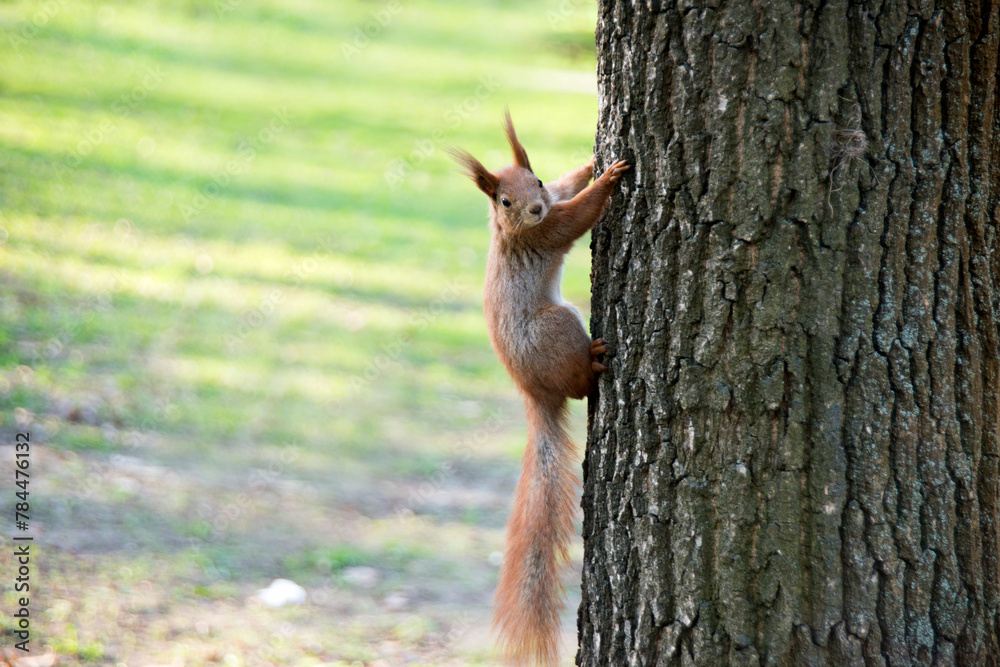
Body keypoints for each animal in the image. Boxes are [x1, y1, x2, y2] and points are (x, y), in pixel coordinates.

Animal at [450, 112, 628, 664]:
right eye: (504, 201)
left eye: (540, 181)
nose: (535, 207)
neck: (508, 231)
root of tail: (533, 394)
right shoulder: (545, 233)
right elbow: (575, 217)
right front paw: (609, 179)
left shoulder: (553, 204)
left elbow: (571, 189)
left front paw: (590, 164)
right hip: (558, 326)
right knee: (579, 387)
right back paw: (595, 362)